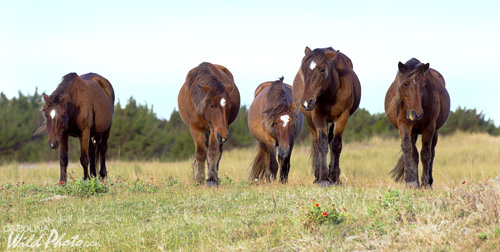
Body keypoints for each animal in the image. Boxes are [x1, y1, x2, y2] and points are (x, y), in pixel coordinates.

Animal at [292, 46, 362, 186]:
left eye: (322, 69)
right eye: (303, 70)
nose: (306, 102)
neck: (331, 91)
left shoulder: (342, 117)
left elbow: (336, 145)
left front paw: (334, 177)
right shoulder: (318, 117)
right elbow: (322, 145)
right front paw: (323, 179)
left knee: (331, 141)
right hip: (310, 121)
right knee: (316, 143)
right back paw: (317, 176)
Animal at [384, 58, 452, 188]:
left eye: (423, 85)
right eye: (405, 84)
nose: (417, 113)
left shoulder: (429, 127)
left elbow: (425, 153)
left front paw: (425, 183)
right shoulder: (404, 124)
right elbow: (407, 148)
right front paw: (410, 181)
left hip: (434, 132)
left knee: (432, 152)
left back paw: (429, 181)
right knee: (414, 153)